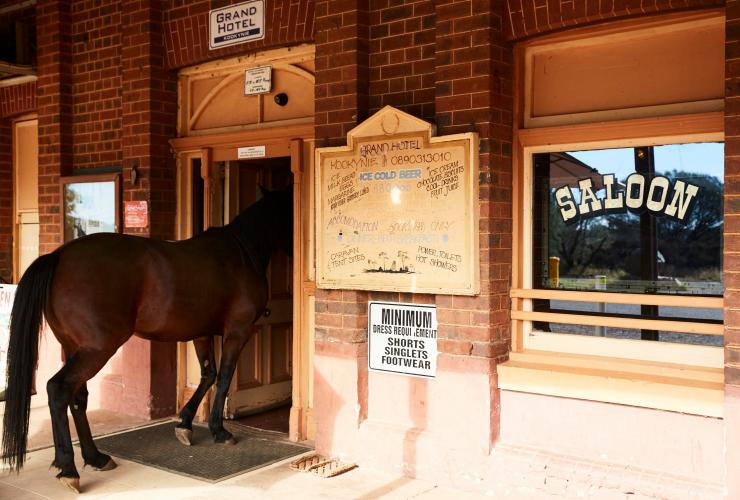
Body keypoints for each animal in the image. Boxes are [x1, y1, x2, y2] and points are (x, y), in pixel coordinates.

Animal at [1, 185, 293, 493]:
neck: (241, 253)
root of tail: (58, 256)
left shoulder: (201, 333)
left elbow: (208, 376)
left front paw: (184, 424)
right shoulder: (238, 331)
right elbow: (224, 378)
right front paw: (219, 430)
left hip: (73, 348)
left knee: (77, 396)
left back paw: (95, 457)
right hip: (97, 350)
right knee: (58, 389)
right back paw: (69, 468)